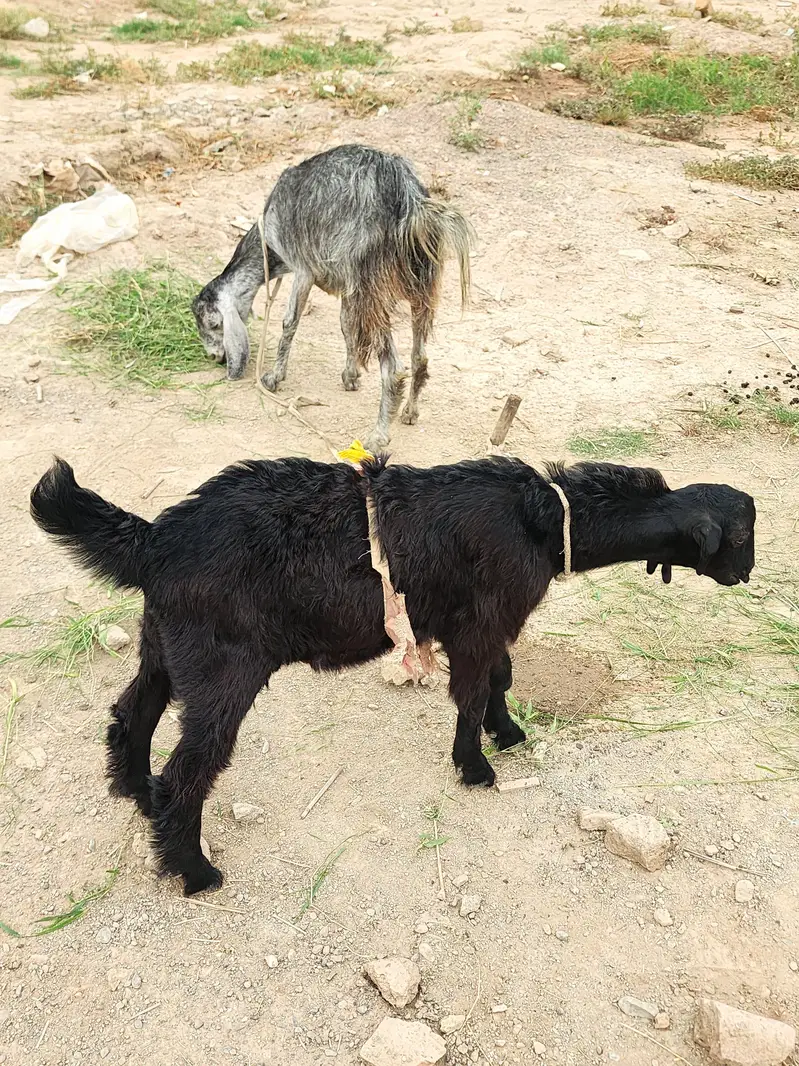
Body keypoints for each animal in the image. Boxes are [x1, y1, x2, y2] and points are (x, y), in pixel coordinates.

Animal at [30, 455, 755, 895]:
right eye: (742, 536)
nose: (746, 574)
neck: (542, 520)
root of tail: (156, 540)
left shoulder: (486, 619)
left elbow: (500, 679)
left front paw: (508, 735)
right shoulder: (481, 618)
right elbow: (474, 689)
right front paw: (475, 766)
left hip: (164, 645)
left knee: (131, 714)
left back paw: (133, 791)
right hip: (221, 670)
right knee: (189, 770)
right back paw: (194, 868)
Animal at [192, 144, 474, 451]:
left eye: (211, 323)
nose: (214, 356)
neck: (269, 241)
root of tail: (411, 203)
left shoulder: (304, 270)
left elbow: (289, 322)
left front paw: (273, 377)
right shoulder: (346, 285)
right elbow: (346, 326)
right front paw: (350, 377)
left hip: (371, 286)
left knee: (394, 368)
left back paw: (378, 436)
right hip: (421, 286)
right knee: (420, 357)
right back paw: (410, 412)